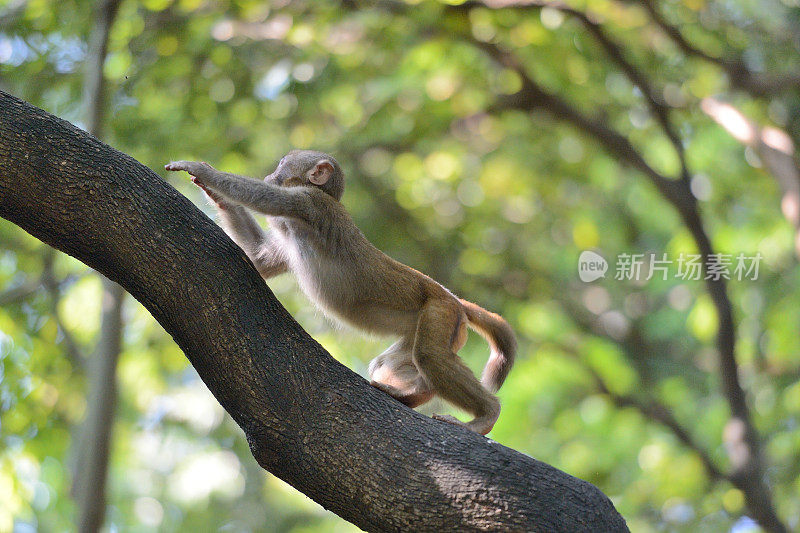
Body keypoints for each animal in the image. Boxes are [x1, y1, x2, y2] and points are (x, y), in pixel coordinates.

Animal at [167, 150, 520, 432]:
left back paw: (486, 416)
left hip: (440, 311)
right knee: (390, 363)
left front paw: (203, 172)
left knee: (429, 356)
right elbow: (260, 257)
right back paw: (413, 394)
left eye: (283, 163)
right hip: (438, 326)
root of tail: (454, 299)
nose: (270, 172)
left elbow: (267, 199)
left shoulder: (311, 202)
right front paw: (214, 192)